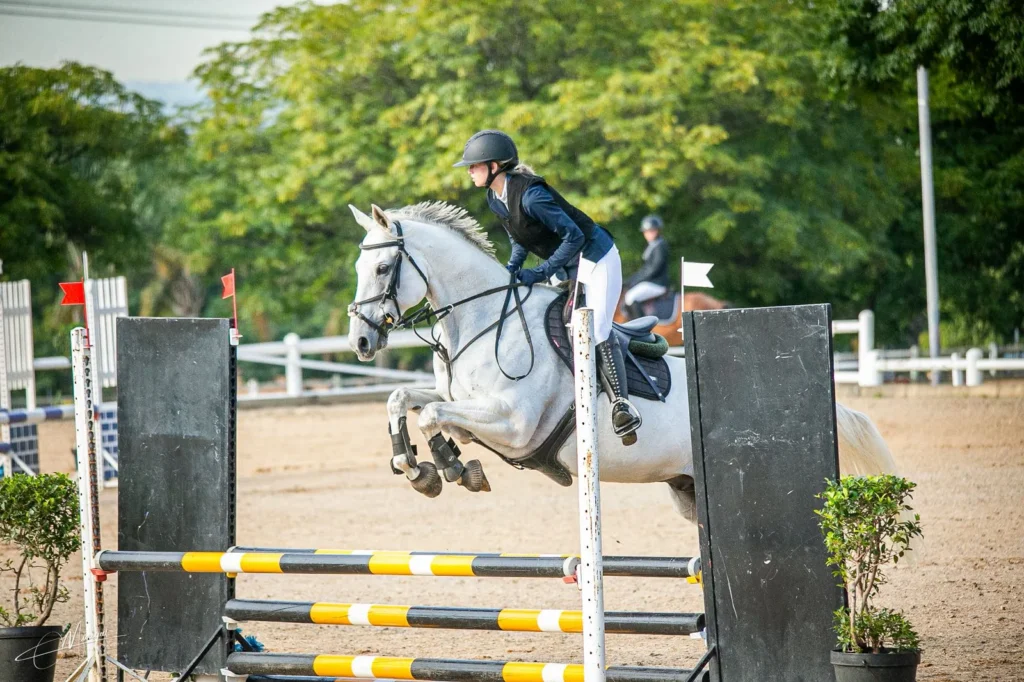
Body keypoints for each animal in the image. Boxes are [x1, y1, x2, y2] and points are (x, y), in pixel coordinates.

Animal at [347, 201, 899, 520]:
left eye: (383, 267)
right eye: (358, 266)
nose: (361, 341)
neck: (483, 318)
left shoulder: (515, 423)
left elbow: (433, 416)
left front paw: (450, 466)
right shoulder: (461, 399)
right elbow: (405, 399)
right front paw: (415, 466)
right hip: (688, 492)